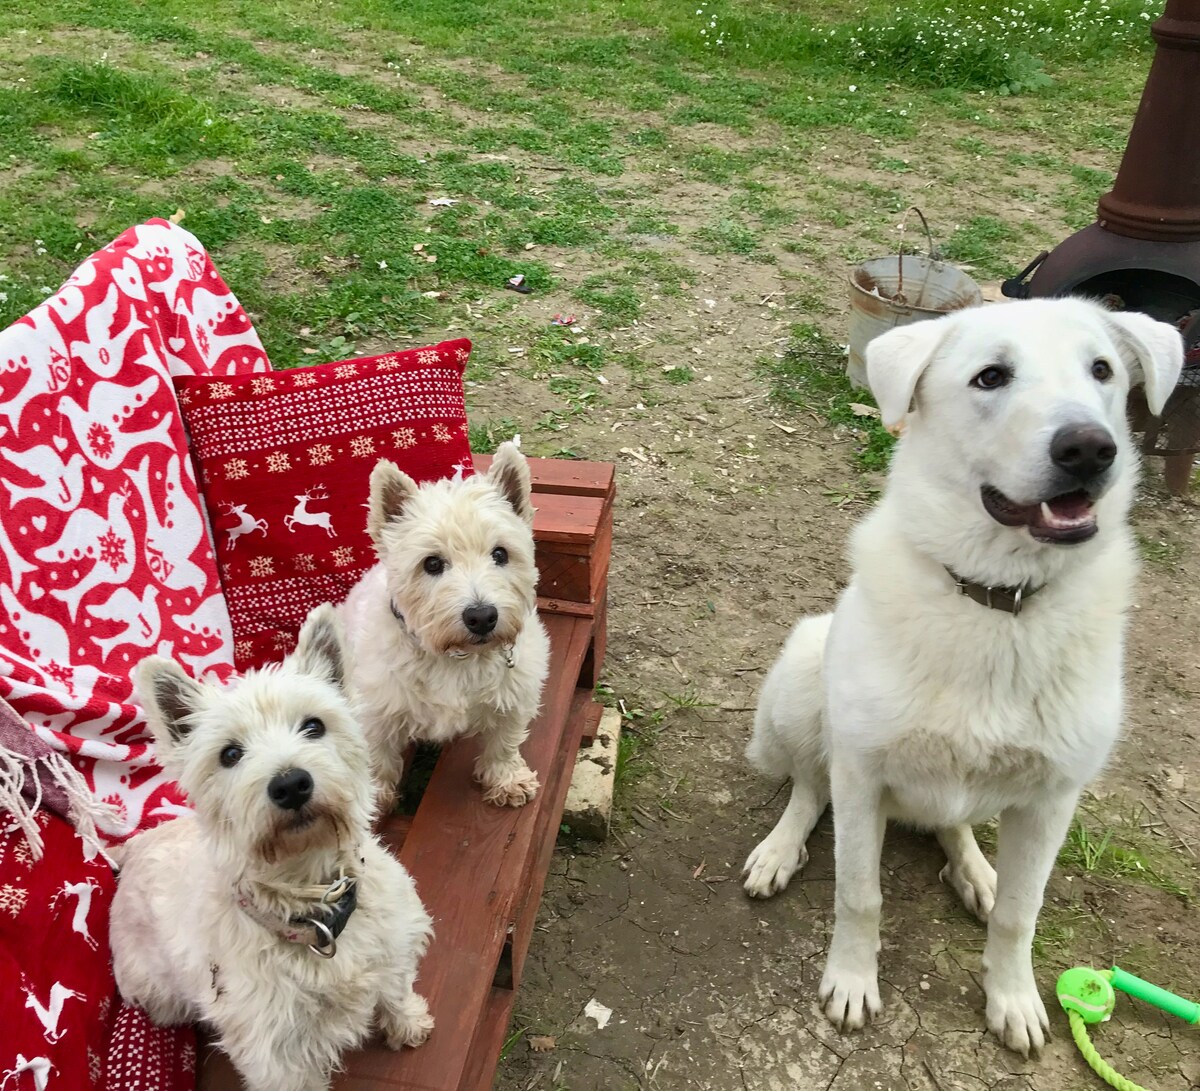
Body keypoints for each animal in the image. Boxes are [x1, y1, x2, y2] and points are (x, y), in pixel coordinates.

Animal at [739, 297, 1180, 1056]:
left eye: (1101, 370)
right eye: (990, 376)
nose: (1090, 448)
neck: (999, 601)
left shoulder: (1052, 800)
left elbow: (1021, 914)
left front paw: (1013, 997)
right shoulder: (862, 773)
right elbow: (858, 893)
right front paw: (851, 980)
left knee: (957, 829)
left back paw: (974, 869)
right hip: (801, 675)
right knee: (808, 784)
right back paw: (780, 848)